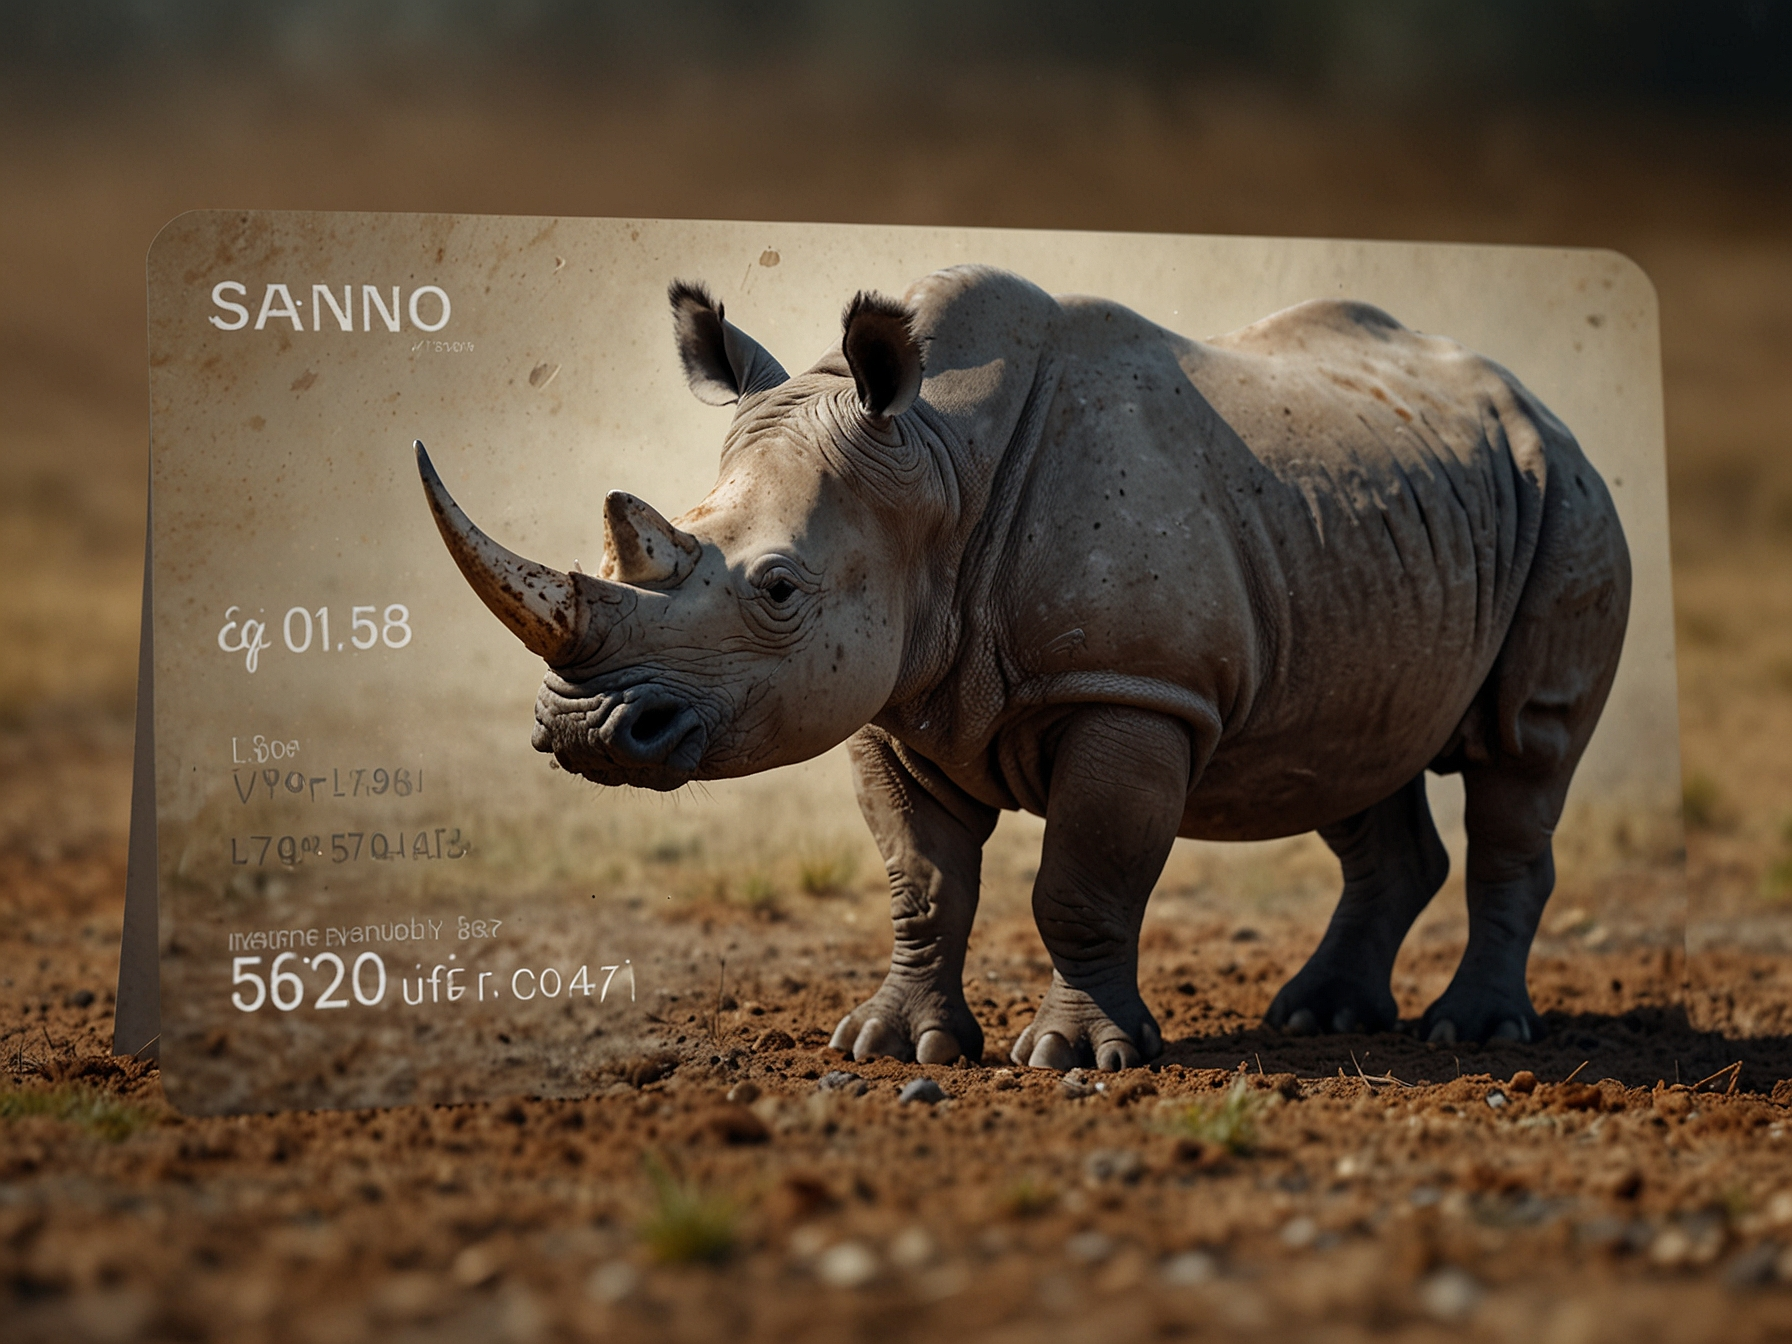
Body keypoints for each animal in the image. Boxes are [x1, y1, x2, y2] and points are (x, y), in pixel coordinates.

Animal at [415, 264, 1629, 1071]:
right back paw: (1322, 1019)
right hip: (1372, 523)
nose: (583, 730)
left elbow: (1082, 880)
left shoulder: (1133, 691)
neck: (934, 468)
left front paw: (1075, 1062)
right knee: (1351, 750)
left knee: (1524, 756)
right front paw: (890, 1047)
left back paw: (1473, 1031)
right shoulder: (889, 697)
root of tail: (1540, 408)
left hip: (1567, 497)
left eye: (778, 590)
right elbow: (921, 882)